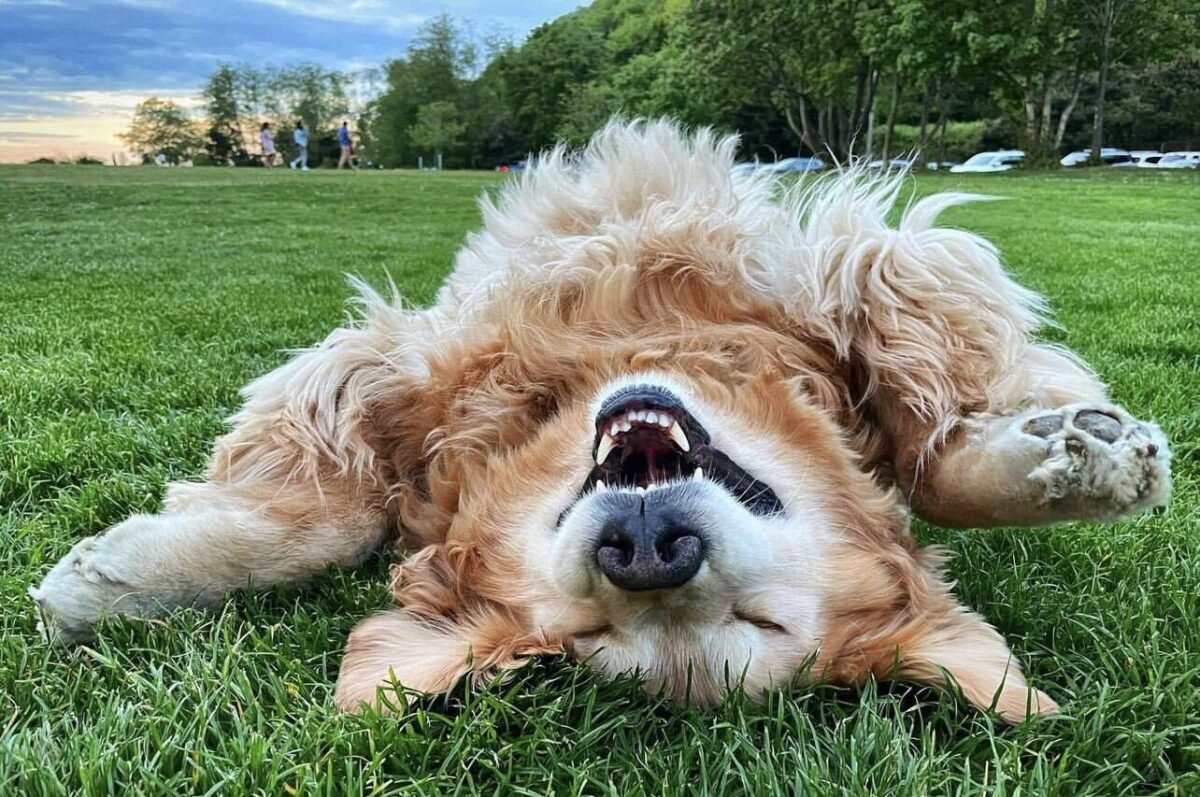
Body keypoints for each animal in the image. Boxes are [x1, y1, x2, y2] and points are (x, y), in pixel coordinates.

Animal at [30, 120, 1171, 720]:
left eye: (759, 624)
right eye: (588, 630)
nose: (649, 549)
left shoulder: (866, 269)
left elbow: (931, 448)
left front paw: (1074, 462)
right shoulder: (403, 361)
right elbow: (335, 517)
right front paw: (119, 578)